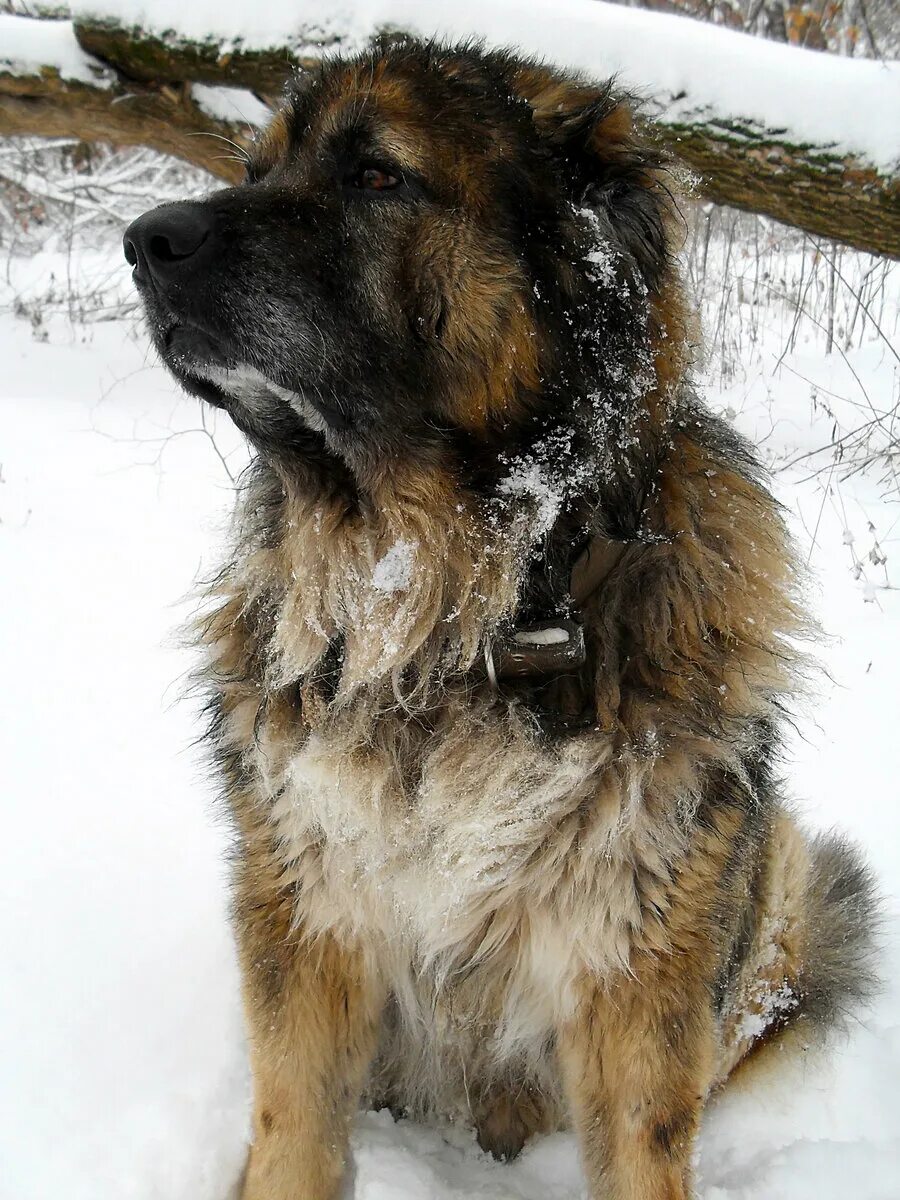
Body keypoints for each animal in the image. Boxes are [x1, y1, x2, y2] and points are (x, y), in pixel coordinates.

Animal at [123, 37, 878, 1200]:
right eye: (257, 168)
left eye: (376, 174)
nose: (143, 241)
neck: (452, 616)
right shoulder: (307, 910)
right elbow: (293, 1125)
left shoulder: (637, 963)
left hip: (776, 878)